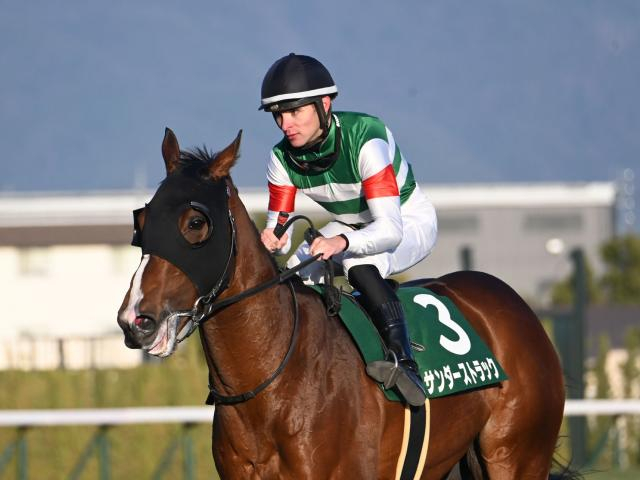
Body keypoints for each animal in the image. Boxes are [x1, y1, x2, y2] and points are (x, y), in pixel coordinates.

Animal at [117, 128, 569, 479]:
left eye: (196, 223)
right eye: (142, 220)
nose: (135, 320)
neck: (271, 383)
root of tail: (515, 305)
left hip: (516, 456)